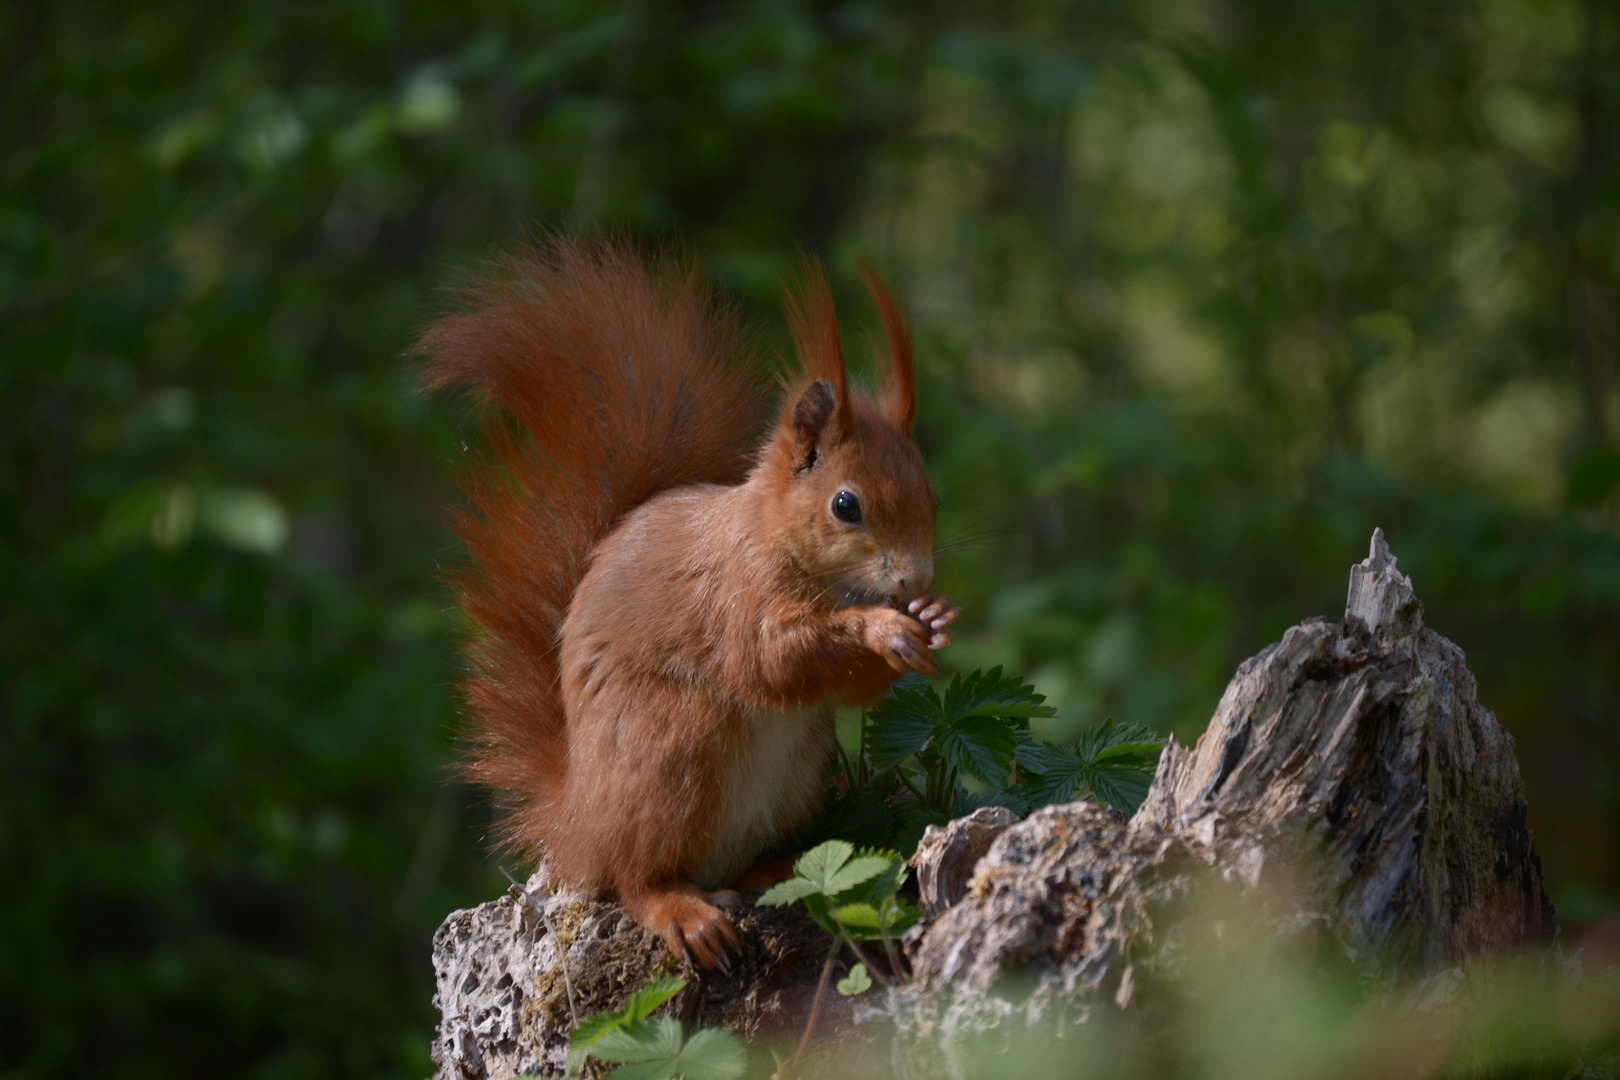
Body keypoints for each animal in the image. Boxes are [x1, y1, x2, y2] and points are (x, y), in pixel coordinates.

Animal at [421, 241, 959, 965]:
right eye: (846, 505)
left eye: (932, 496)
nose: (913, 580)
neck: (770, 533)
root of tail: (578, 821)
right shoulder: (734, 596)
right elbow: (770, 661)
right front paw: (880, 627)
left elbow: (845, 689)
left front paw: (929, 621)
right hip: (673, 746)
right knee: (634, 877)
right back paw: (682, 913)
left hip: (795, 773)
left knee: (740, 862)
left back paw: (780, 868)